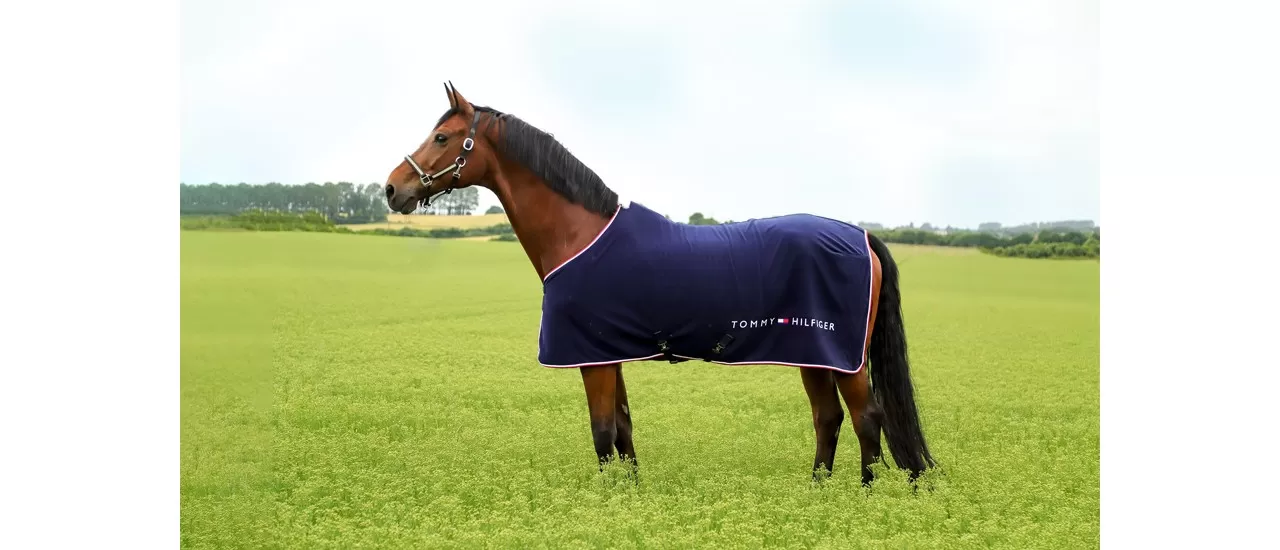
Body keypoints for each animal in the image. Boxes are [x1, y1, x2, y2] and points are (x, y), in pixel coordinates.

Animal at [383, 83, 935, 485]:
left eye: (442, 138)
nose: (392, 188)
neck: (580, 233)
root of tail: (860, 235)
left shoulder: (592, 357)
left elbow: (602, 431)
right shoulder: (608, 352)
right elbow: (623, 428)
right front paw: (632, 492)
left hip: (844, 358)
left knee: (867, 418)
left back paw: (864, 493)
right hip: (812, 354)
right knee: (828, 418)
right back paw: (817, 489)